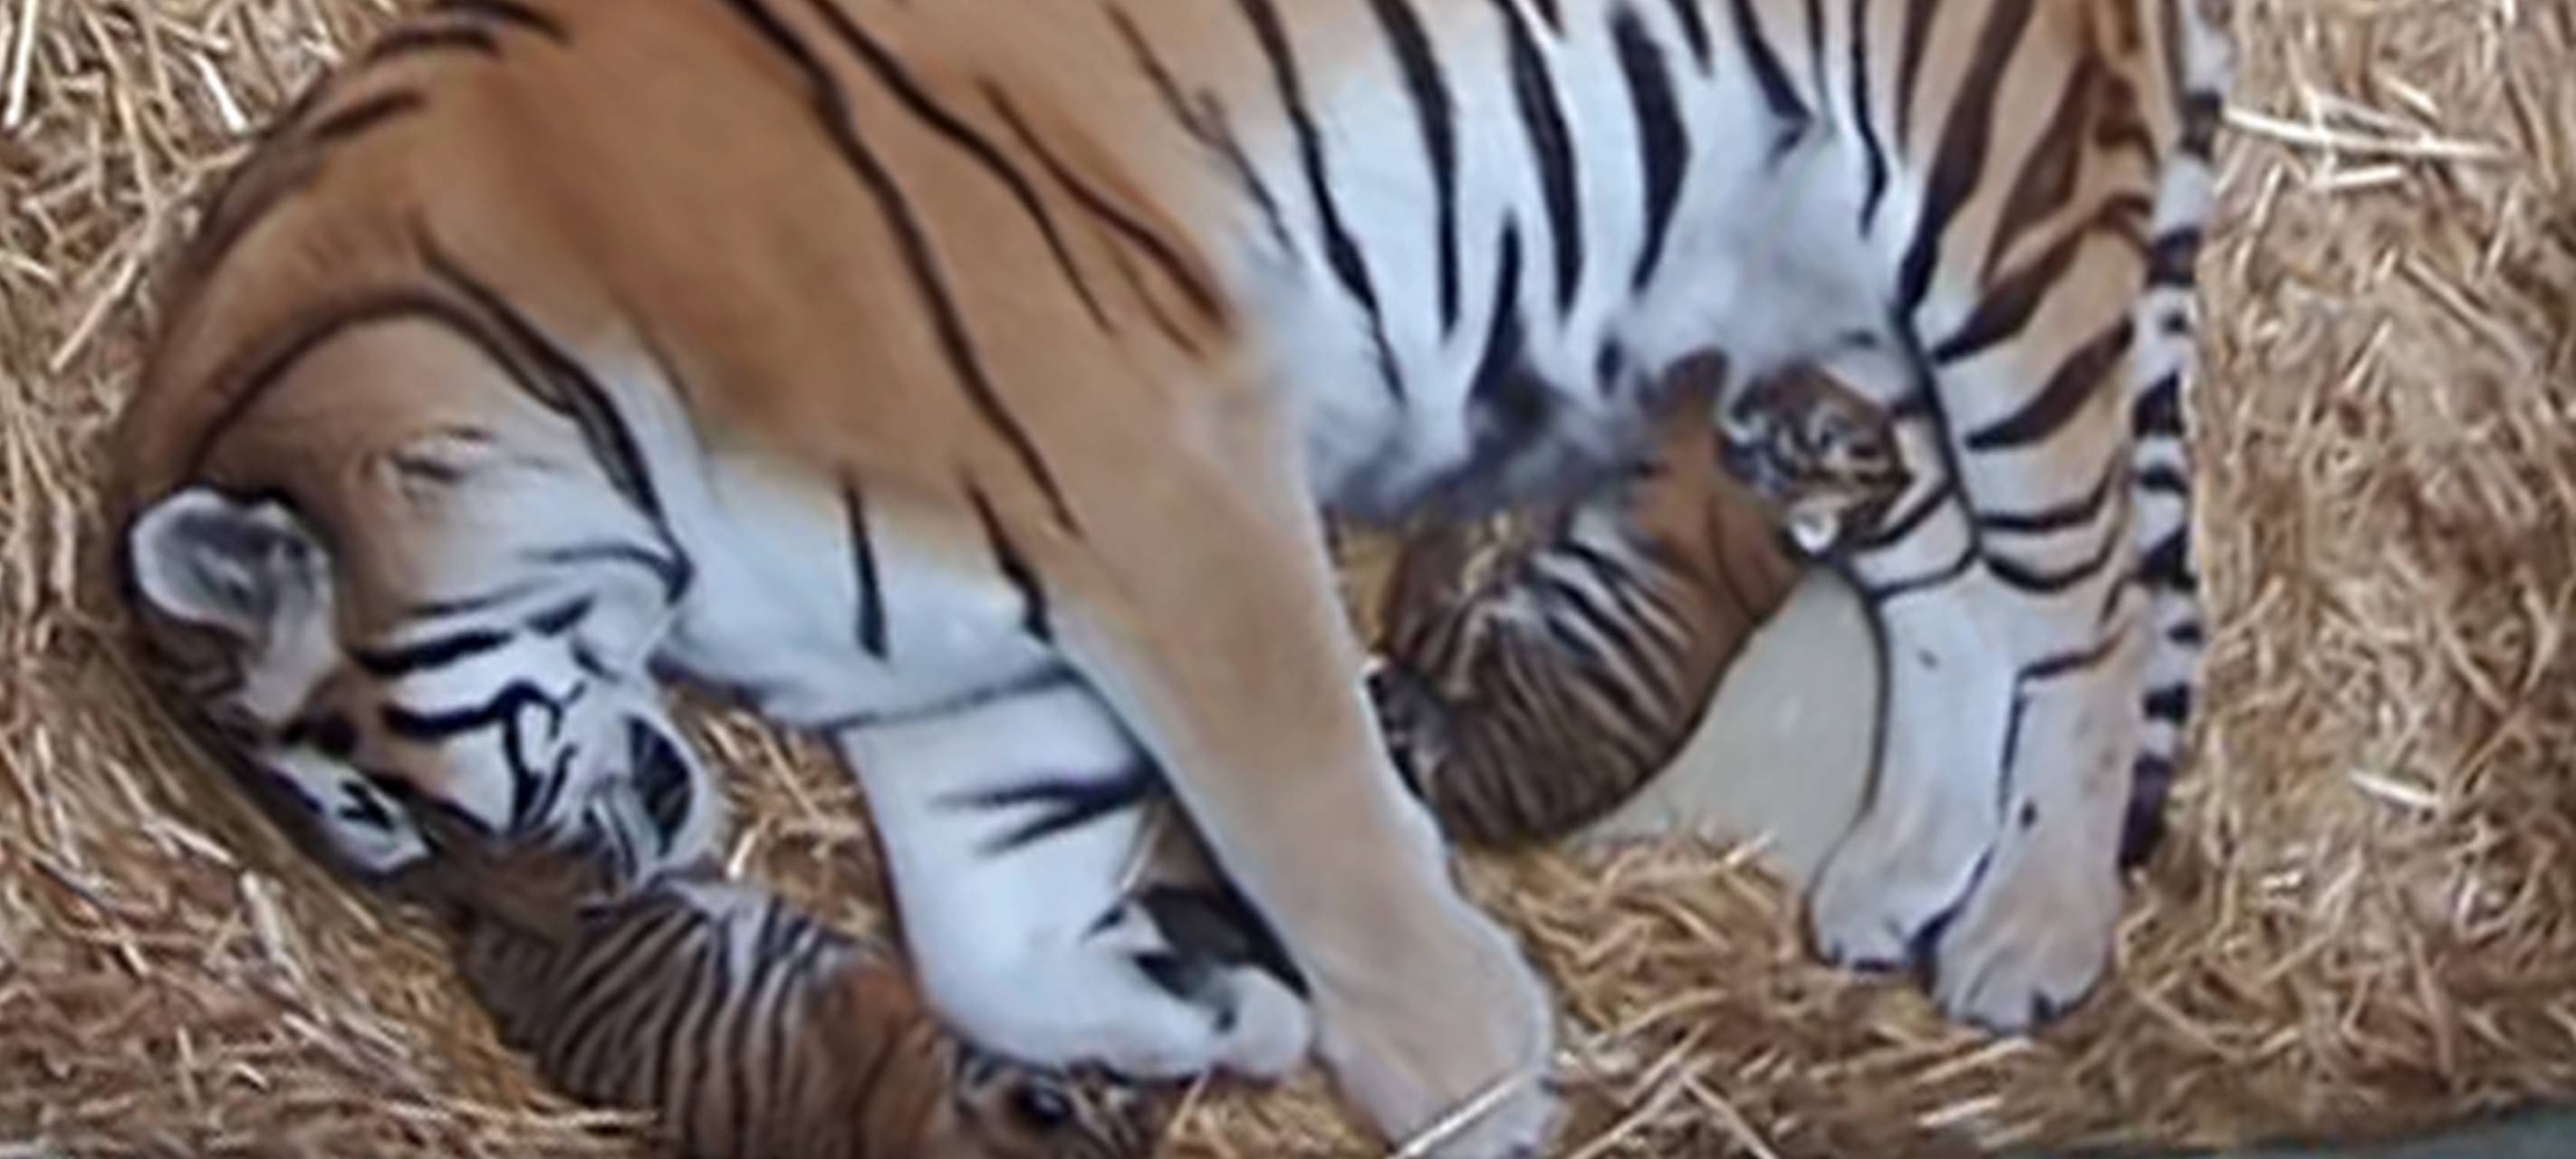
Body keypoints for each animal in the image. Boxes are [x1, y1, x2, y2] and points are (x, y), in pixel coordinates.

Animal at [103, 0, 2235, 1152]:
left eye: (383, 810)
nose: (564, 921)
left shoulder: (1158, 484)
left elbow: (1319, 831)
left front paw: (1465, 1086)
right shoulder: (953, 670)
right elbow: (988, 940)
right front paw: (1211, 1025)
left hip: (1989, 230)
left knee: (2091, 597)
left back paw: (2033, 923)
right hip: (1835, 305)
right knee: (1948, 579)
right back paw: (1900, 871)